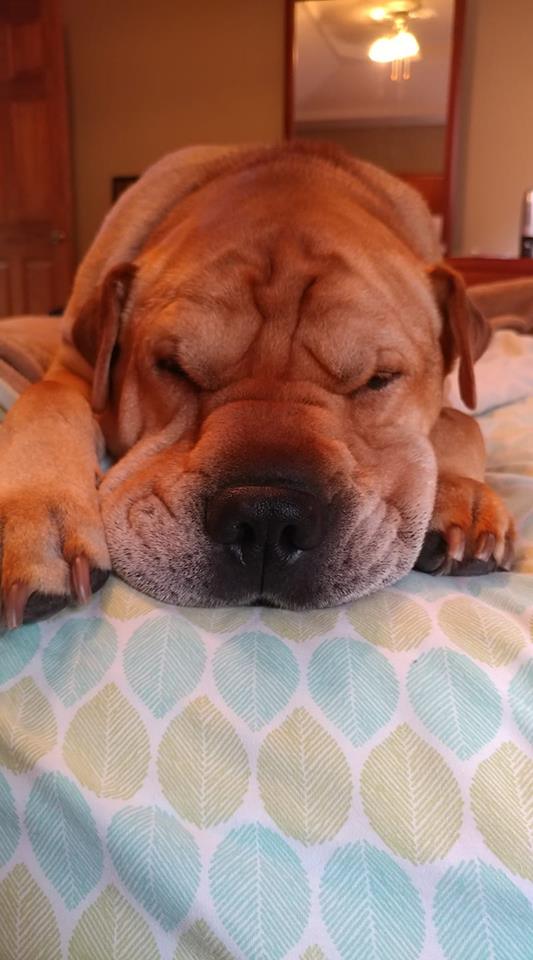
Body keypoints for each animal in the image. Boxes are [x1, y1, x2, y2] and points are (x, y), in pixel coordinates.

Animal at [1, 139, 516, 628]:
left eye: (378, 380)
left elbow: (460, 420)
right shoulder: (73, 366)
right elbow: (47, 400)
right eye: (173, 367)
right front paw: (31, 513)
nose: (267, 516)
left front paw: (462, 493)